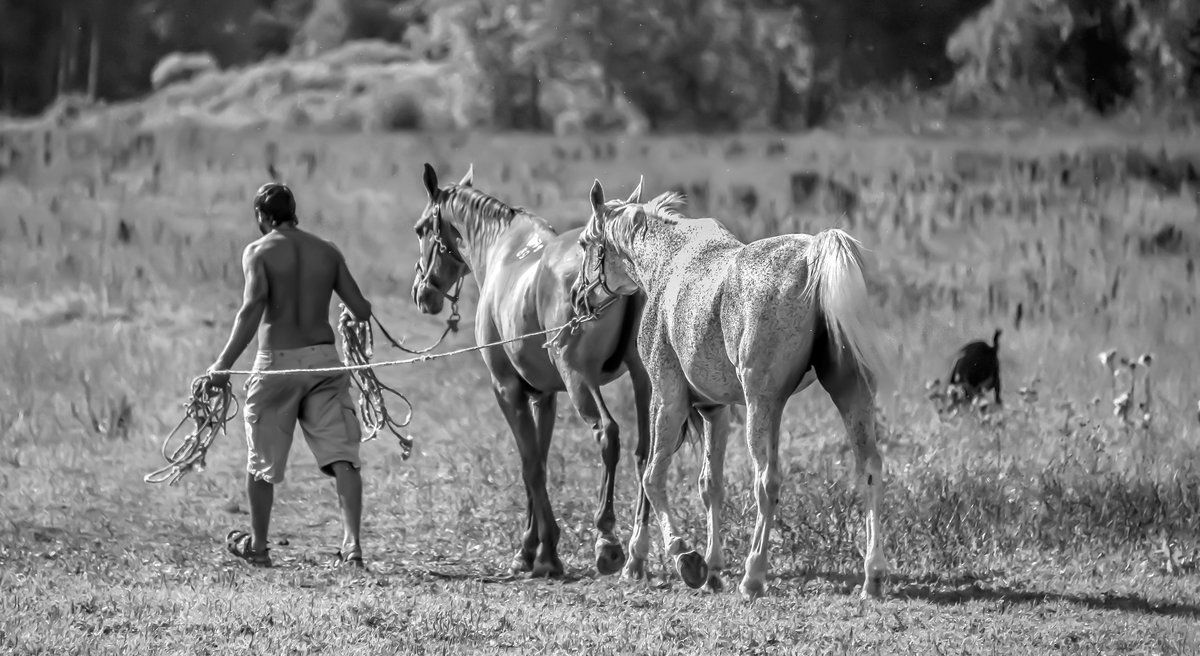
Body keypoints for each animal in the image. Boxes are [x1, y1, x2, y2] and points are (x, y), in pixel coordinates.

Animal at [412, 164, 657, 580]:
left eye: (420, 229)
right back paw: (639, 553)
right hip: (644, 380)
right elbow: (539, 459)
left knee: (607, 434)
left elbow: (529, 465)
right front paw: (537, 548)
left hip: (580, 379)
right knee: (648, 450)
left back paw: (607, 540)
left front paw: (540, 554)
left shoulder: (507, 389)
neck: (503, 251)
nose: (422, 293)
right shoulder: (545, 396)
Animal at [568, 179, 892, 599]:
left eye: (585, 243)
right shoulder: (714, 410)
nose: (577, 296)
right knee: (869, 469)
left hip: (761, 405)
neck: (668, 262)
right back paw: (872, 576)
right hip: (848, 394)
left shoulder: (667, 399)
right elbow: (711, 485)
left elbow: (651, 476)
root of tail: (812, 255)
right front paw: (713, 567)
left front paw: (678, 558)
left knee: (766, 481)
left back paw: (753, 575)